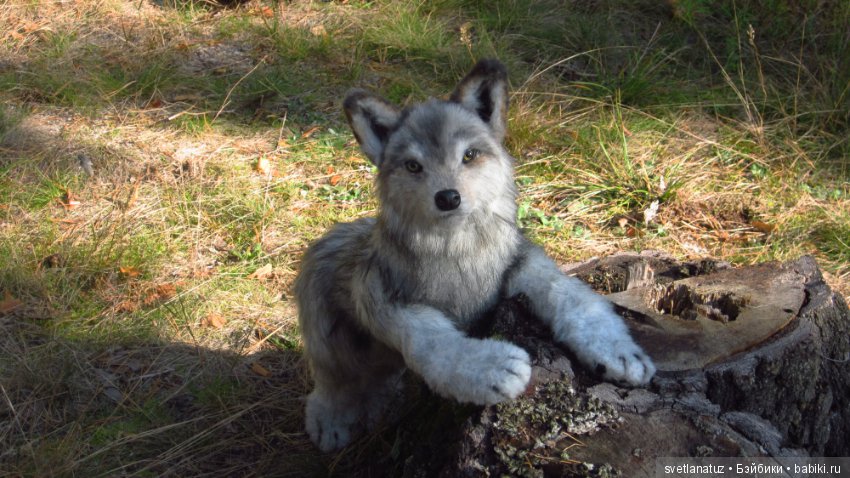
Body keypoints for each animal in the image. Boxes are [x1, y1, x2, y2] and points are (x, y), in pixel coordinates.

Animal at [295, 59, 655, 452]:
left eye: (468, 156)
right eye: (413, 166)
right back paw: (330, 422)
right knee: (333, 384)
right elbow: (433, 339)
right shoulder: (383, 298)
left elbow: (574, 296)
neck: (458, 253)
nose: (448, 197)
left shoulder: (519, 266)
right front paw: (490, 368)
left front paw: (618, 351)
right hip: (330, 340)